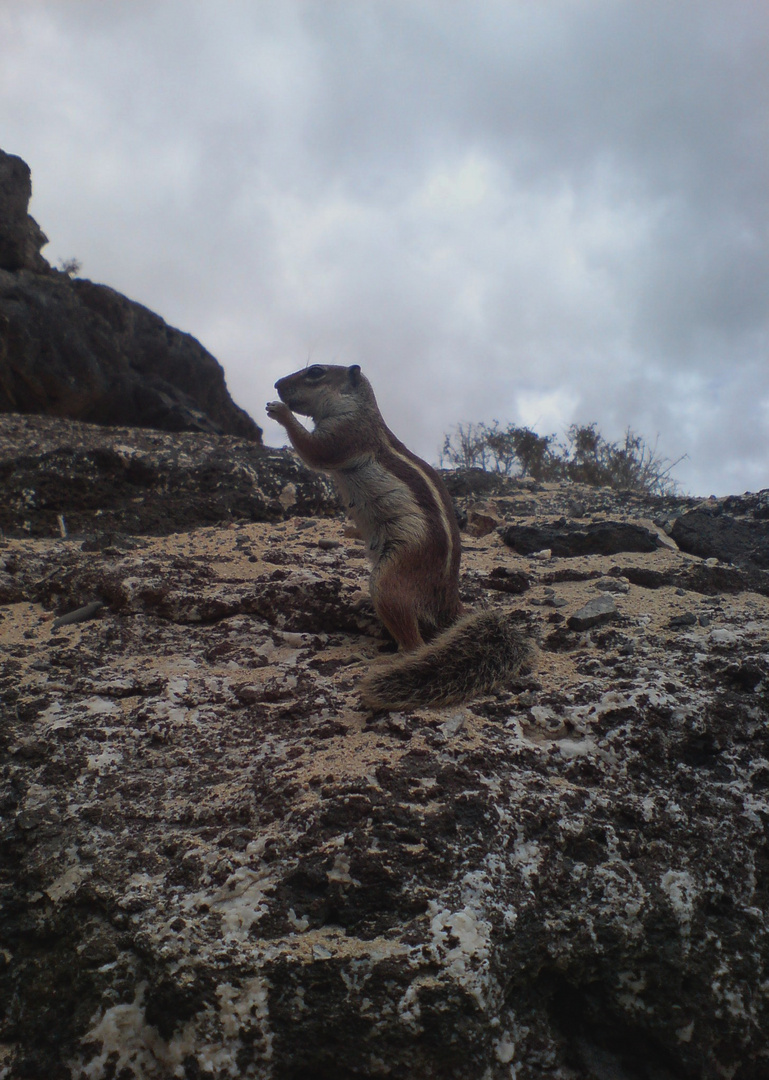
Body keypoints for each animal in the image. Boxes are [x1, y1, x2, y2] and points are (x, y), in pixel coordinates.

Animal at [265, 362, 535, 708]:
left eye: (315, 371)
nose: (276, 384)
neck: (359, 408)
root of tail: (448, 601)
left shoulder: (348, 434)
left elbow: (315, 452)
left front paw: (279, 411)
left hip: (392, 579)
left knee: (413, 644)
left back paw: (379, 659)